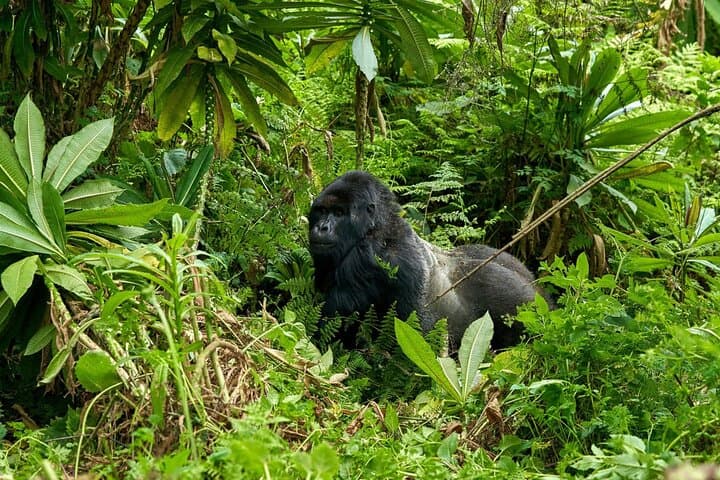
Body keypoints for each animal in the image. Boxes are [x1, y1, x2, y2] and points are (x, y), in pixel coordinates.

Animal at [308, 170, 549, 350]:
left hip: (524, 309)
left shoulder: (366, 257)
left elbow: (328, 329)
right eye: (322, 211)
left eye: (339, 213)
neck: (379, 224)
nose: (322, 227)